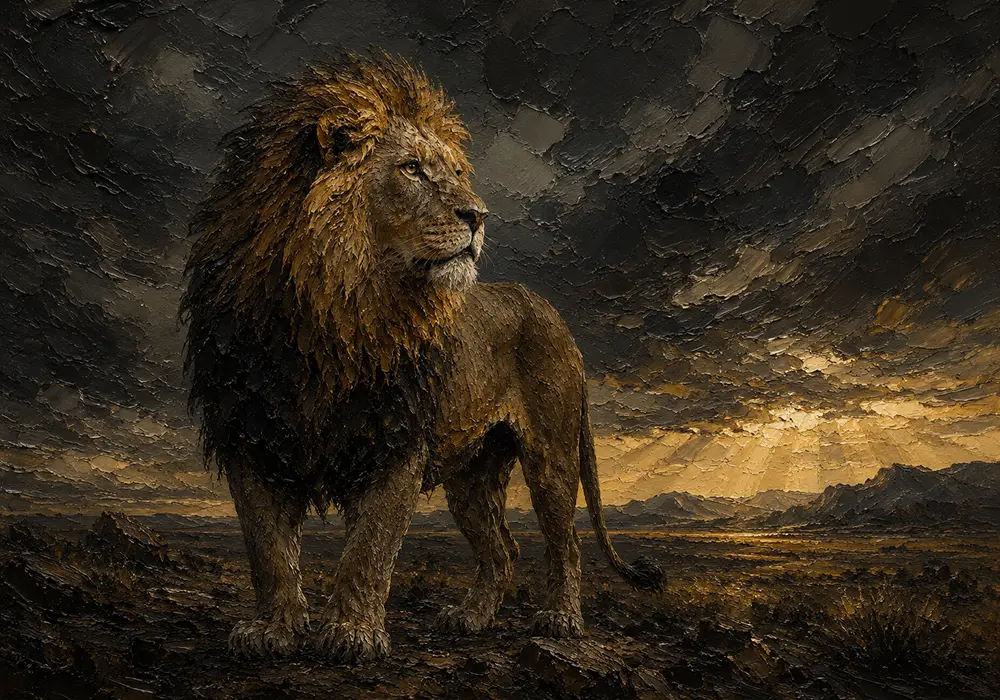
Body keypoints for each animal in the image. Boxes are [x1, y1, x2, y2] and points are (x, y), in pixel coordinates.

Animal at [180, 53, 662, 663]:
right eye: (412, 170)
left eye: (456, 173)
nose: (478, 214)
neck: (330, 312)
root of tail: (549, 311)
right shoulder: (252, 438)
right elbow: (268, 550)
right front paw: (273, 630)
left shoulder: (395, 439)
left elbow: (370, 548)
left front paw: (353, 634)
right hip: (473, 473)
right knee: (503, 550)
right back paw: (471, 618)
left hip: (551, 452)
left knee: (566, 542)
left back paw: (561, 620)